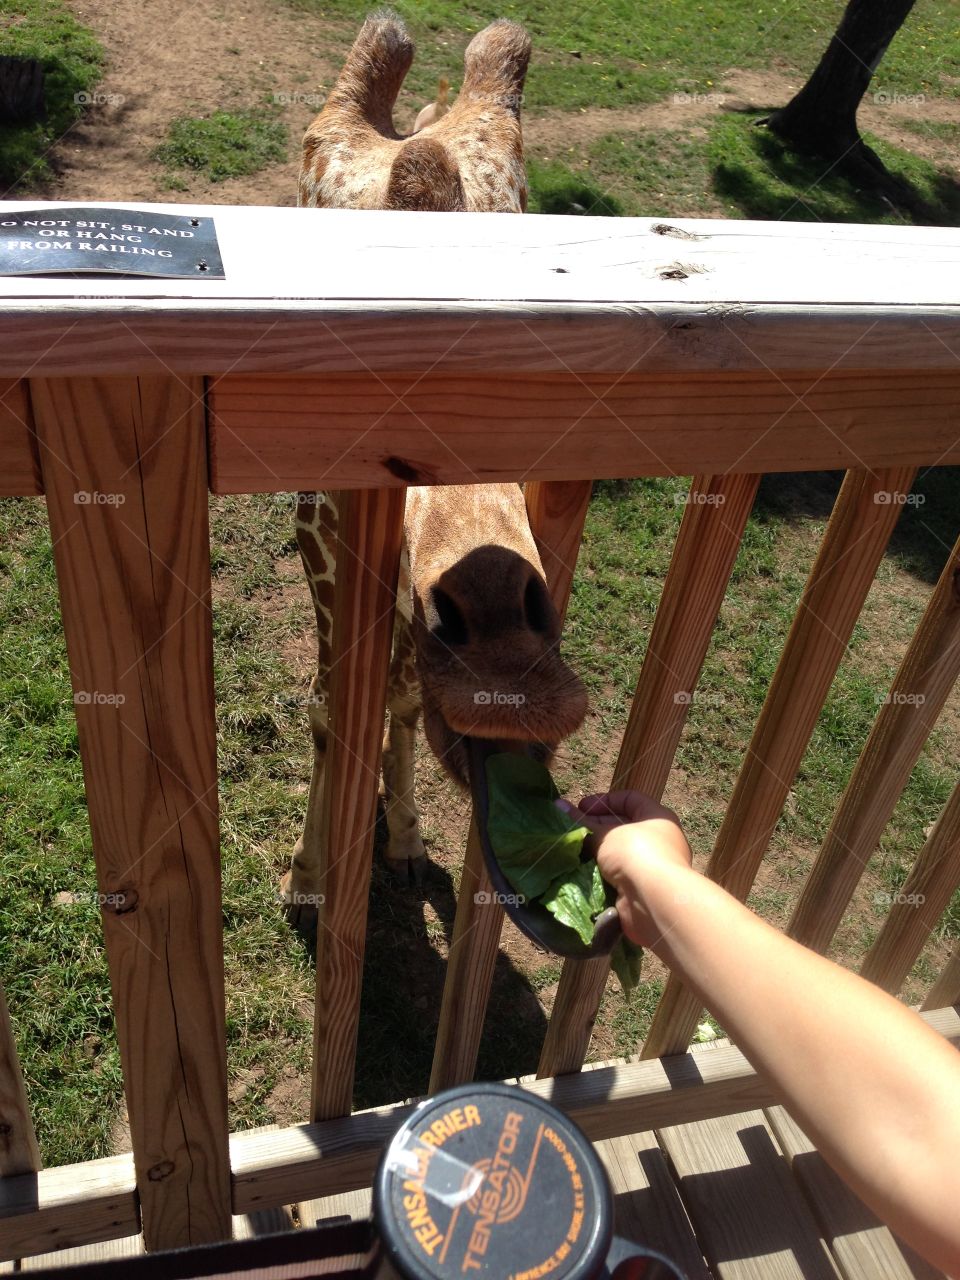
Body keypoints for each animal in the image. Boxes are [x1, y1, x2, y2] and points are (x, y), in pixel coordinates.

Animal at [283, 13, 587, 915]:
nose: (507, 681)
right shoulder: (322, 542)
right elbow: (329, 708)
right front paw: (308, 879)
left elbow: (405, 697)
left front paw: (407, 843)